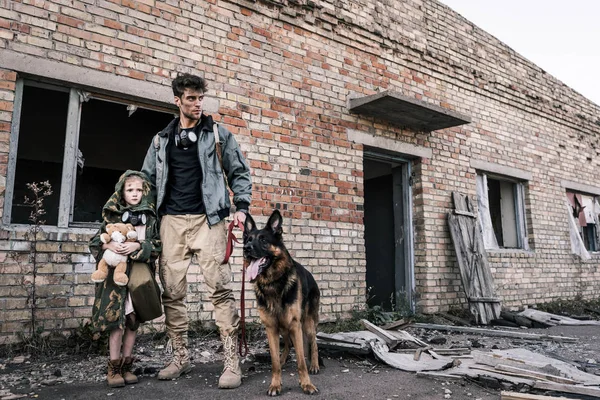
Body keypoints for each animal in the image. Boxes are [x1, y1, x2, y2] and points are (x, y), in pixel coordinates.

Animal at [243, 211, 322, 396]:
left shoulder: (294, 325)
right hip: (284, 327)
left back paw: (315, 365)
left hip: (306, 324)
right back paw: (283, 358)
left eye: (263, 240)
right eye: (248, 239)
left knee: (314, 343)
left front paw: (307, 384)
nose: (246, 249)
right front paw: (275, 384)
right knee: (287, 343)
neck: (273, 283)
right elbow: (274, 363)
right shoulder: (271, 327)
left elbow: (301, 362)